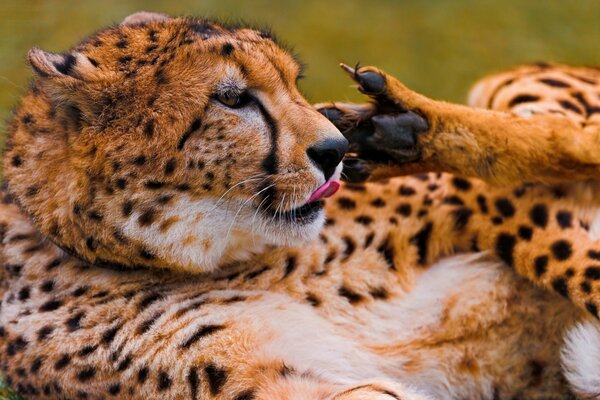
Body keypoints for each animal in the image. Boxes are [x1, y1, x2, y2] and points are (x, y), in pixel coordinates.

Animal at [3, 10, 600, 400]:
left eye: (293, 84)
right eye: (231, 98)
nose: (334, 150)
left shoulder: (485, 201)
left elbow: (571, 260)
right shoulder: (295, 384)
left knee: (576, 137)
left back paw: (400, 126)